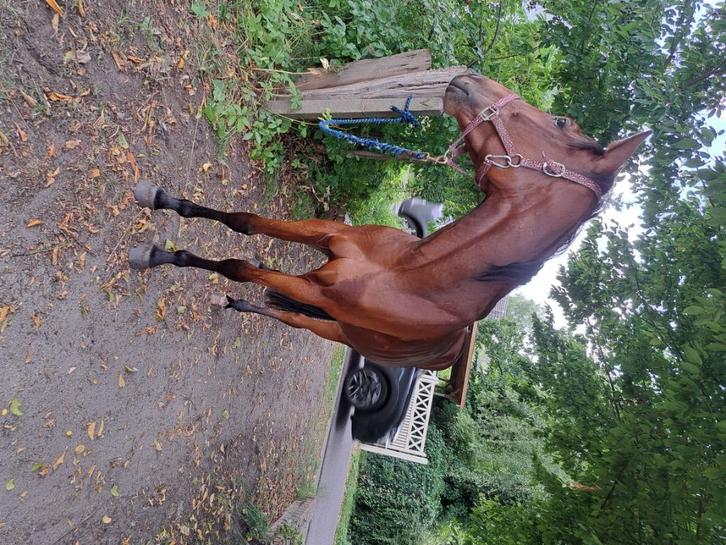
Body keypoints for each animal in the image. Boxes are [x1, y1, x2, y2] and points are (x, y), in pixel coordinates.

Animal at [128, 74, 649, 370]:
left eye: (561, 122)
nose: (470, 76)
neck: (409, 273)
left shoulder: (318, 291)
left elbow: (236, 264)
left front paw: (155, 255)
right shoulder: (330, 235)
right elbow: (246, 221)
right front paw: (163, 200)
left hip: (333, 328)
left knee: (290, 316)